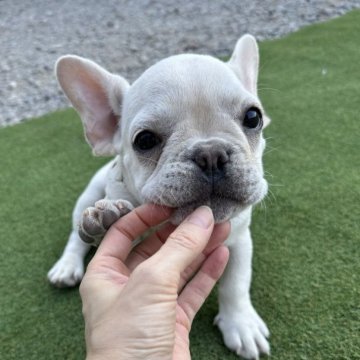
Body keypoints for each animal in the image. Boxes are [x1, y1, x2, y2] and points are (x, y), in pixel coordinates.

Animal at [47, 34, 270, 360]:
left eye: (253, 117)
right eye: (145, 140)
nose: (211, 154)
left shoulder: (240, 239)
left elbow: (236, 283)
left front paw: (240, 323)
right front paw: (106, 221)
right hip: (86, 196)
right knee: (75, 235)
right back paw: (67, 265)